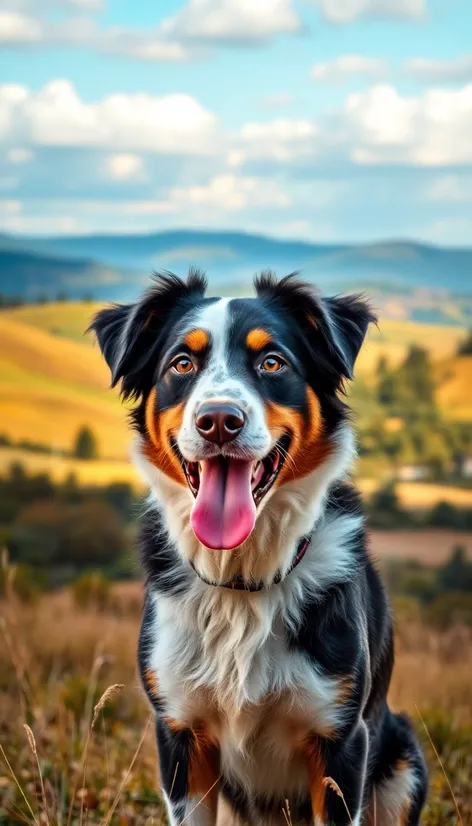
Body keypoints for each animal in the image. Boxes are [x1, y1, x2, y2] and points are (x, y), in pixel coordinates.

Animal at [91, 272, 428, 824]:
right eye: (181, 363)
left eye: (272, 362)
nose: (218, 420)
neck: (241, 578)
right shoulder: (180, 735)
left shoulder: (341, 739)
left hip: (402, 757)